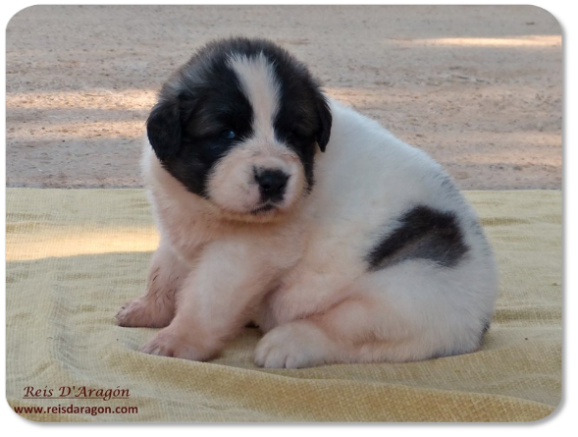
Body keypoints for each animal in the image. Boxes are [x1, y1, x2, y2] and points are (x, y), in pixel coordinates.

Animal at [115, 36, 498, 368]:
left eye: (293, 133)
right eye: (227, 133)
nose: (273, 179)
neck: (210, 208)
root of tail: (481, 319)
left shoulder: (245, 253)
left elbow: (206, 298)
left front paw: (177, 340)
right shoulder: (178, 229)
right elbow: (163, 273)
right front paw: (146, 310)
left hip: (402, 292)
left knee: (342, 330)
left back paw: (286, 342)